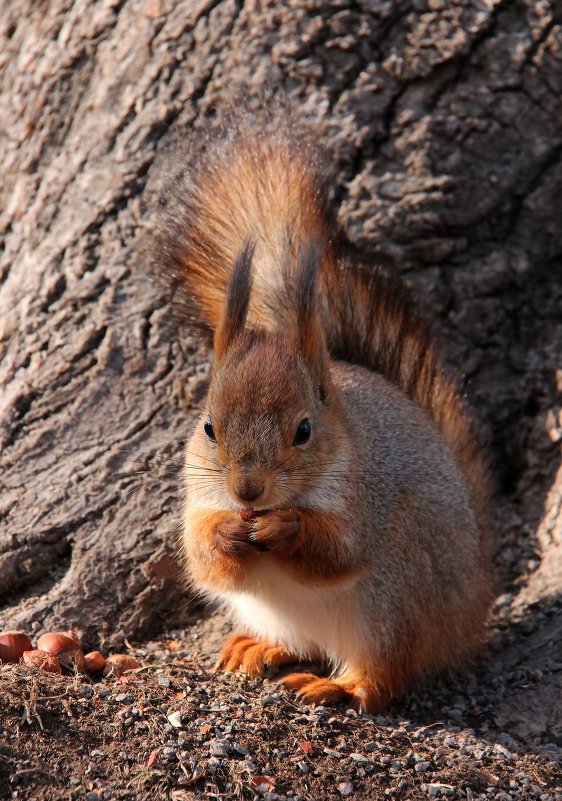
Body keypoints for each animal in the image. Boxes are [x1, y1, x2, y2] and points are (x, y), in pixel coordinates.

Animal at [148, 108, 490, 712]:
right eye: (209, 426)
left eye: (304, 430)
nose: (248, 492)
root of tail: (465, 615)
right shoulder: (199, 494)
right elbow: (203, 554)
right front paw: (228, 534)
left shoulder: (365, 496)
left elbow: (336, 551)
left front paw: (286, 526)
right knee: (299, 642)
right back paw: (257, 646)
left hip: (395, 593)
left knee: (384, 675)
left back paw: (339, 683)